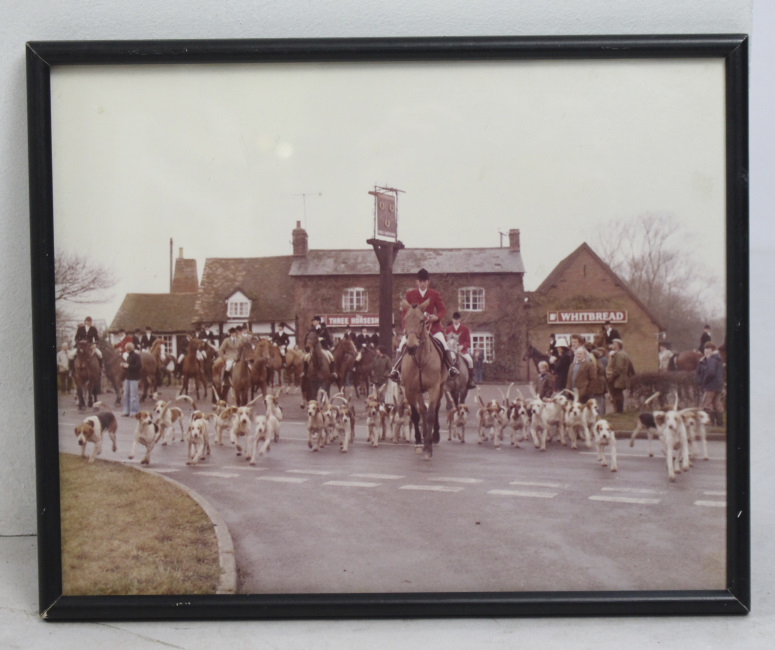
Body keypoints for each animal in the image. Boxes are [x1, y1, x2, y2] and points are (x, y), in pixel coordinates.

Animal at [398, 296, 446, 458]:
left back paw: (434, 436)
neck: (419, 360)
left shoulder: (433, 388)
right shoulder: (410, 389)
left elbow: (431, 414)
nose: (411, 347)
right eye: (405, 319)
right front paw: (420, 443)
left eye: (421, 320)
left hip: (441, 387)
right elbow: (416, 414)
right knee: (422, 411)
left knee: (435, 409)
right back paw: (424, 436)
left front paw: (428, 448)